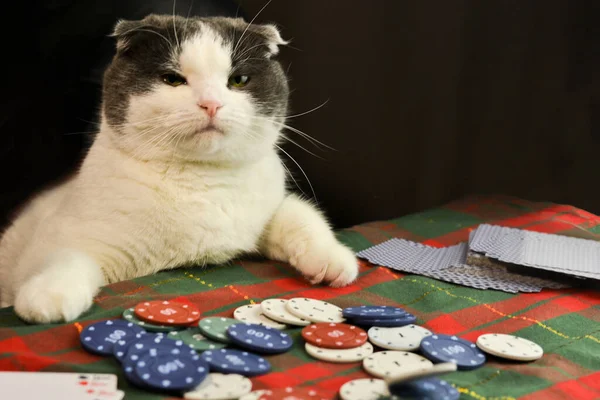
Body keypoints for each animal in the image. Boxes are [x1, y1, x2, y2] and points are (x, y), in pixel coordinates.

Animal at [0, 14, 356, 324]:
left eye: (238, 80)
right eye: (172, 79)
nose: (211, 103)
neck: (201, 183)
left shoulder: (268, 209)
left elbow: (301, 216)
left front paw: (333, 260)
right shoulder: (65, 236)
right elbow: (64, 259)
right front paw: (46, 297)